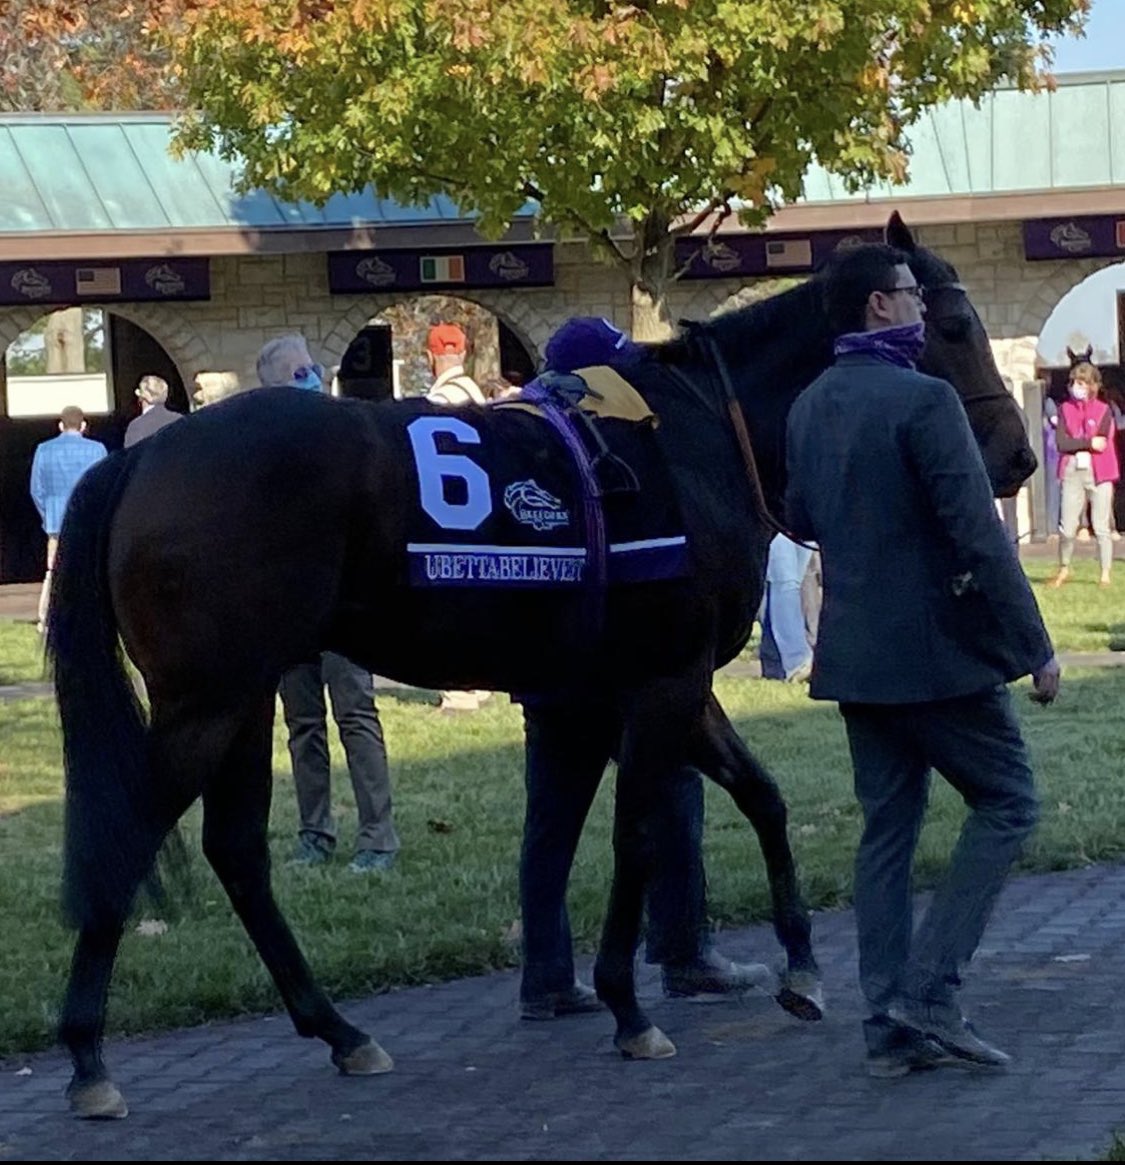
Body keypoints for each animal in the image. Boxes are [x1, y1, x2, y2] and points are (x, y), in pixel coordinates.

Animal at [46, 214, 1038, 1113]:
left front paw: (798, 966)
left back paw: (338, 1029)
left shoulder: (651, 683)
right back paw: (89, 1056)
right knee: (135, 834)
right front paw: (630, 1007)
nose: (1018, 457)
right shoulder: (663, 681)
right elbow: (640, 833)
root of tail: (140, 460)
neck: (696, 437)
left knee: (237, 850)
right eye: (953, 326)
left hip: (243, 695)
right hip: (206, 698)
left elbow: (759, 795)